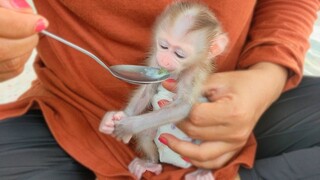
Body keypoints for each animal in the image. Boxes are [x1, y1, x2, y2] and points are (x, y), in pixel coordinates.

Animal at [100, 1, 228, 180]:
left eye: (179, 54)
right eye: (163, 46)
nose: (164, 59)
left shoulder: (193, 72)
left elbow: (183, 106)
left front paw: (128, 126)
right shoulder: (154, 63)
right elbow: (147, 91)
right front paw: (116, 118)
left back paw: (202, 171)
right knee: (146, 133)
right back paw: (151, 163)